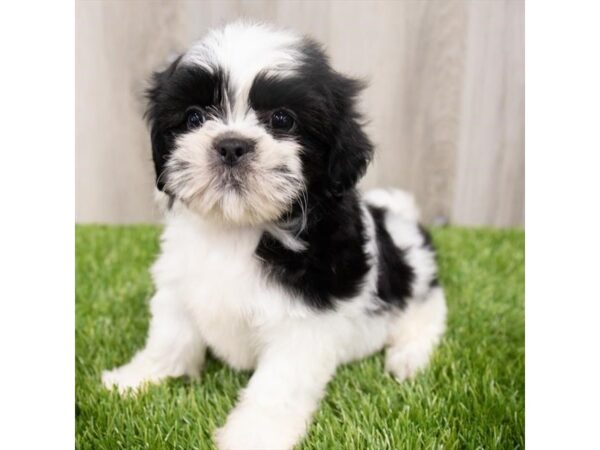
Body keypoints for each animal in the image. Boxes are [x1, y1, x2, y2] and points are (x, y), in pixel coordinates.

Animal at [103, 21, 448, 450]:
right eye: (194, 117)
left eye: (283, 120)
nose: (231, 145)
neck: (238, 228)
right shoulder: (179, 285)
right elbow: (170, 337)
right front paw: (139, 377)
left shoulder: (304, 322)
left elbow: (277, 385)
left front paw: (253, 434)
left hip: (415, 281)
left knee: (428, 315)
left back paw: (408, 359)